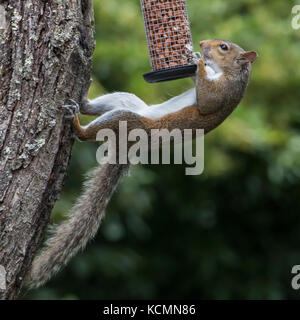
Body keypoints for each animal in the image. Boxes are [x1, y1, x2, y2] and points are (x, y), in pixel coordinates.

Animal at [26, 40, 258, 288]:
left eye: (223, 47)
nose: (203, 44)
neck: (228, 73)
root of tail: (129, 147)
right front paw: (194, 57)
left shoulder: (222, 94)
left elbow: (206, 101)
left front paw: (198, 62)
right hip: (125, 101)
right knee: (100, 105)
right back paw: (84, 96)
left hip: (126, 119)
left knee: (88, 134)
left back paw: (78, 124)